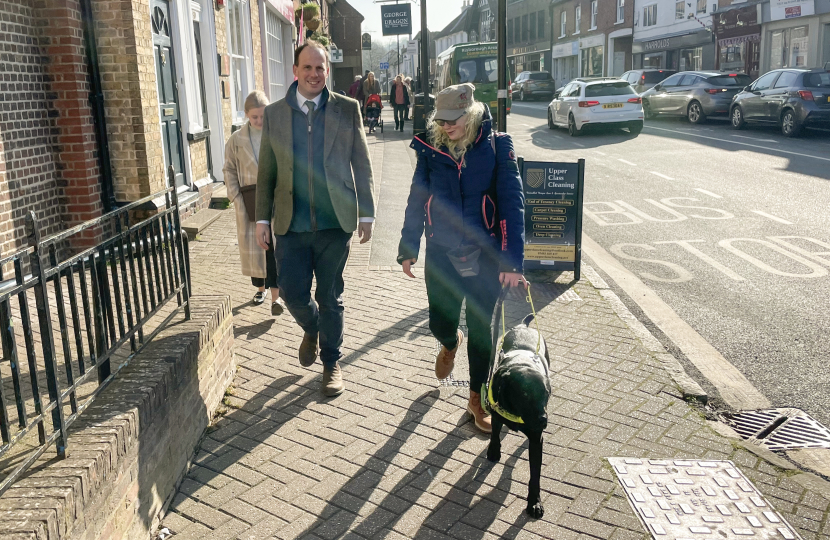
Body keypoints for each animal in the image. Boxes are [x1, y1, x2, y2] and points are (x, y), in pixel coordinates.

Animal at [480, 296, 552, 520]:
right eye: (525, 394)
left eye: (547, 394)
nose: (543, 420)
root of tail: (523, 326)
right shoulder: (496, 413)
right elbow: (495, 433)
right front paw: (493, 451)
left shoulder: (537, 440)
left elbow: (535, 476)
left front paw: (534, 503)